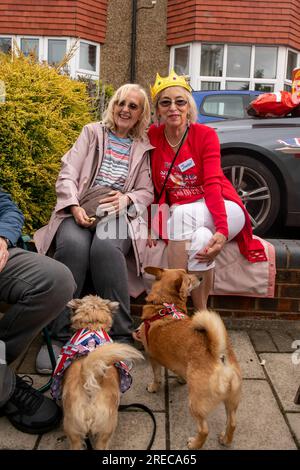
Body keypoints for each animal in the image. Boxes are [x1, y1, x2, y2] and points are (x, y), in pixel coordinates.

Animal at [135, 268, 243, 448]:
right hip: (231, 400)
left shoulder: (153, 357)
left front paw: (154, 386)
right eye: (188, 276)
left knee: (204, 429)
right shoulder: (177, 363)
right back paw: (225, 439)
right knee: (233, 422)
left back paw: (194, 444)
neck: (163, 305)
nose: (200, 276)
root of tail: (218, 356)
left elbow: (157, 376)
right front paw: (180, 379)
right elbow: (178, 371)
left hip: (196, 403)